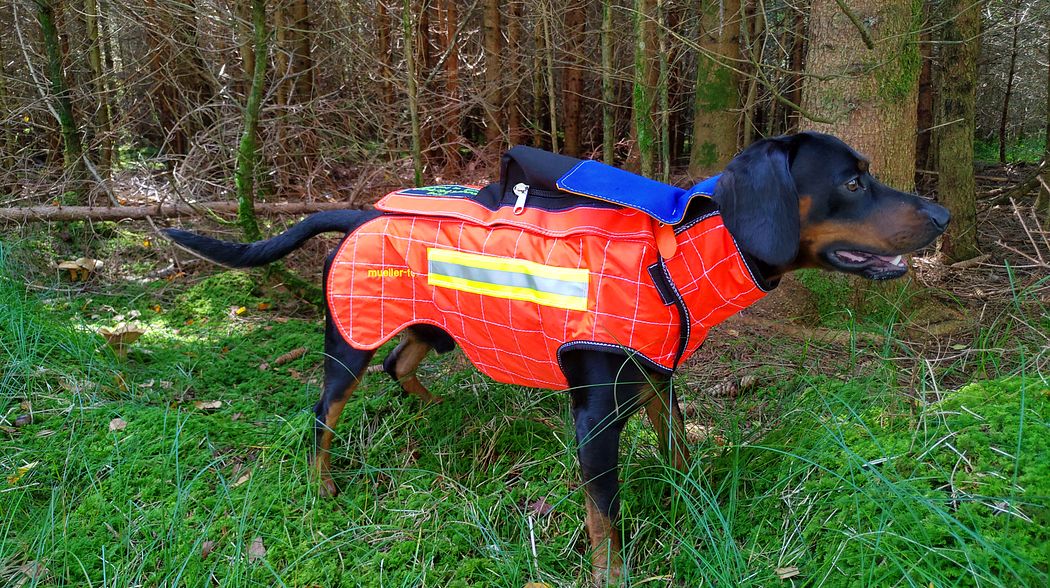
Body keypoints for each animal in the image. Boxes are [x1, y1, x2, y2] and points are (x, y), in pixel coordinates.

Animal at [163, 132, 953, 579]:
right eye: (851, 181)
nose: (943, 213)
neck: (671, 261)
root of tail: (359, 213)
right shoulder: (596, 419)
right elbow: (606, 518)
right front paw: (613, 576)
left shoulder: (658, 382)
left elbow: (679, 452)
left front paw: (694, 499)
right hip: (350, 341)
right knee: (324, 415)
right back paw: (325, 485)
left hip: (437, 326)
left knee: (402, 368)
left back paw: (439, 410)